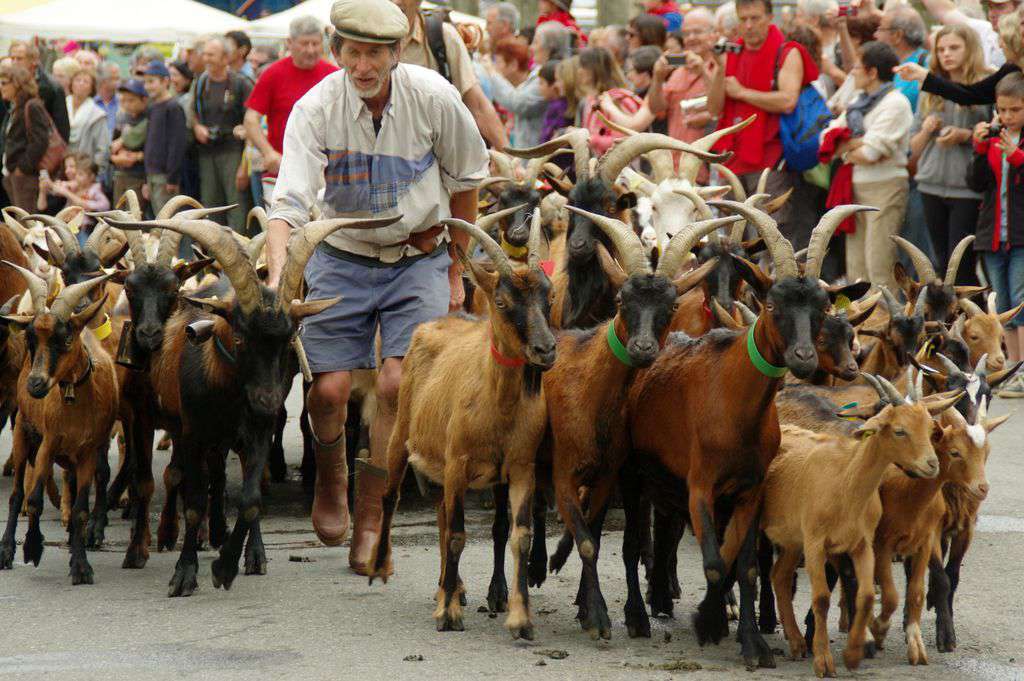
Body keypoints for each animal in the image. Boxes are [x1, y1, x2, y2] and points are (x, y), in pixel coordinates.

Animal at [368, 210, 557, 639]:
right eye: (501, 301)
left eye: (549, 296)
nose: (546, 349)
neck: (498, 408)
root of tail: (436, 322)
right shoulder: (458, 462)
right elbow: (456, 536)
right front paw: (449, 616)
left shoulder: (521, 466)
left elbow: (520, 537)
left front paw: (520, 620)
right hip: (403, 432)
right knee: (390, 494)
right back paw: (380, 567)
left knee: (439, 514)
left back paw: (448, 587)